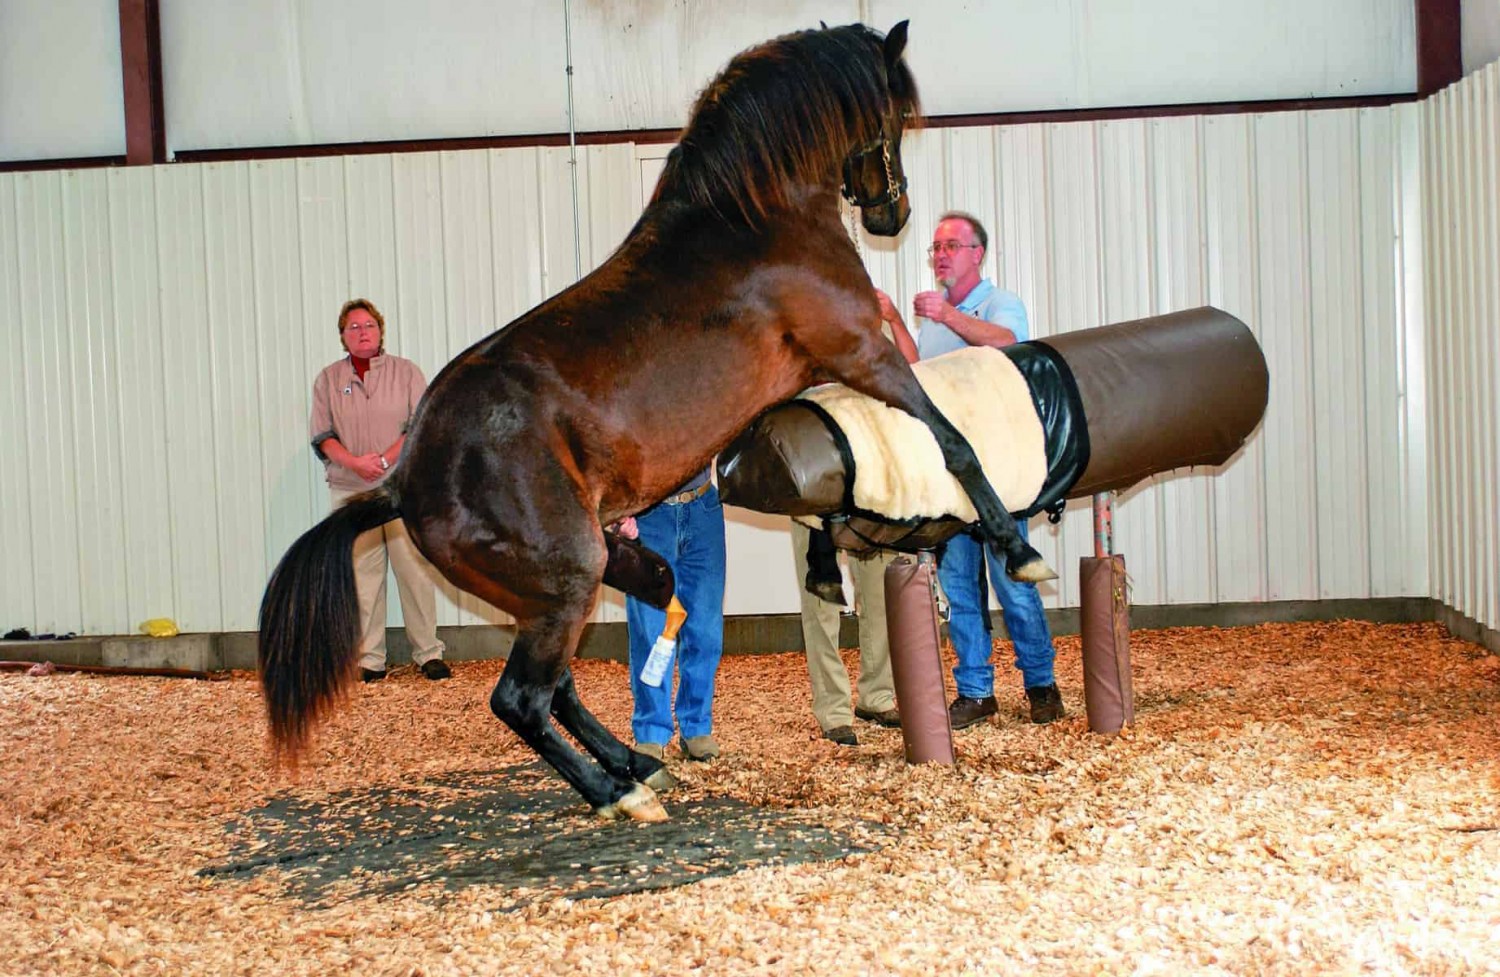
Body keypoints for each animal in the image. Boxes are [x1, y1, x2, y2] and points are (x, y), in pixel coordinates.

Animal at [258, 19, 1050, 822]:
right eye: (890, 119)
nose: (896, 212)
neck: (760, 220)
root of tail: (404, 479)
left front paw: (831, 569)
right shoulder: (861, 352)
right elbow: (953, 442)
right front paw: (1019, 548)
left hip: (550, 592)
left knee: (558, 689)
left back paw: (638, 762)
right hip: (570, 578)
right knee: (520, 699)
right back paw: (619, 791)